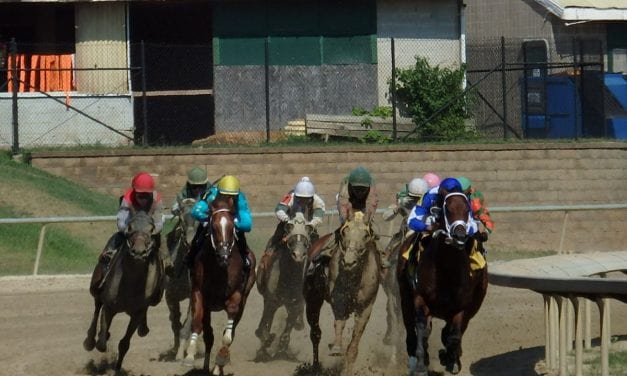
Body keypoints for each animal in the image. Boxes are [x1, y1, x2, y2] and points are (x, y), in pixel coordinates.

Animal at [84, 212, 166, 370]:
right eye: (130, 228)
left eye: (151, 230)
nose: (138, 252)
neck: (130, 284)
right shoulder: (109, 307)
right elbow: (101, 344)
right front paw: (102, 337)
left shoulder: (137, 313)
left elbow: (124, 344)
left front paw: (116, 368)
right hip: (96, 287)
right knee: (97, 306)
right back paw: (89, 340)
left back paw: (143, 329)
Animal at [183, 195, 256, 374]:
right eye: (214, 226)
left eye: (231, 227)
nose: (224, 255)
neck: (220, 268)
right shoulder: (198, 293)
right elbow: (197, 323)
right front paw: (190, 355)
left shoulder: (236, 297)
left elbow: (227, 335)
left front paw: (221, 359)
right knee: (209, 336)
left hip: (244, 300)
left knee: (230, 331)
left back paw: (217, 367)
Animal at [255, 210, 314, 360]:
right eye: (291, 240)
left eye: (305, 241)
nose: (298, 255)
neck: (288, 278)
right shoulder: (271, 301)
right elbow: (264, 328)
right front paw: (264, 347)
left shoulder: (296, 304)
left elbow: (286, 331)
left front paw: (283, 348)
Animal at [302, 212, 378, 376]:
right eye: (344, 232)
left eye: (365, 235)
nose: (349, 261)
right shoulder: (338, 301)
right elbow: (339, 322)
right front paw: (336, 347)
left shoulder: (365, 308)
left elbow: (353, 346)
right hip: (312, 300)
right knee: (315, 334)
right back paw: (315, 368)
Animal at [398, 194, 490, 376]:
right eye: (446, 209)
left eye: (467, 210)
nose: (459, 235)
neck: (446, 269)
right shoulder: (420, 297)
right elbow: (422, 328)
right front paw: (421, 364)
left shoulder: (462, 306)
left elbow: (454, 334)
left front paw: (451, 361)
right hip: (404, 295)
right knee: (411, 326)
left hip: (476, 301)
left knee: (453, 330)